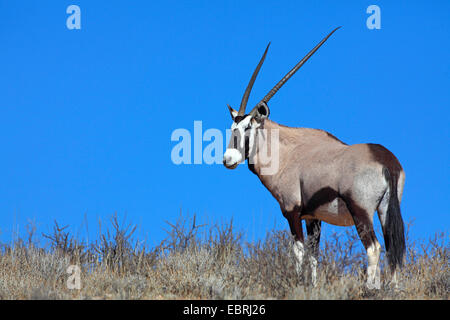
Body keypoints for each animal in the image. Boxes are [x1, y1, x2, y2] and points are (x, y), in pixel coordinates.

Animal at [223, 26, 406, 288]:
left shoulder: (292, 211)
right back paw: (392, 288)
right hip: (386, 211)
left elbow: (298, 252)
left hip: (361, 212)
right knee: (393, 248)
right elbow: (313, 256)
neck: (288, 153)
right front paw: (313, 286)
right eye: (232, 128)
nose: (228, 159)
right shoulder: (313, 218)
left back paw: (370, 288)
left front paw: (297, 283)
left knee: (374, 247)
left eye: (248, 127)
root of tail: (386, 161)